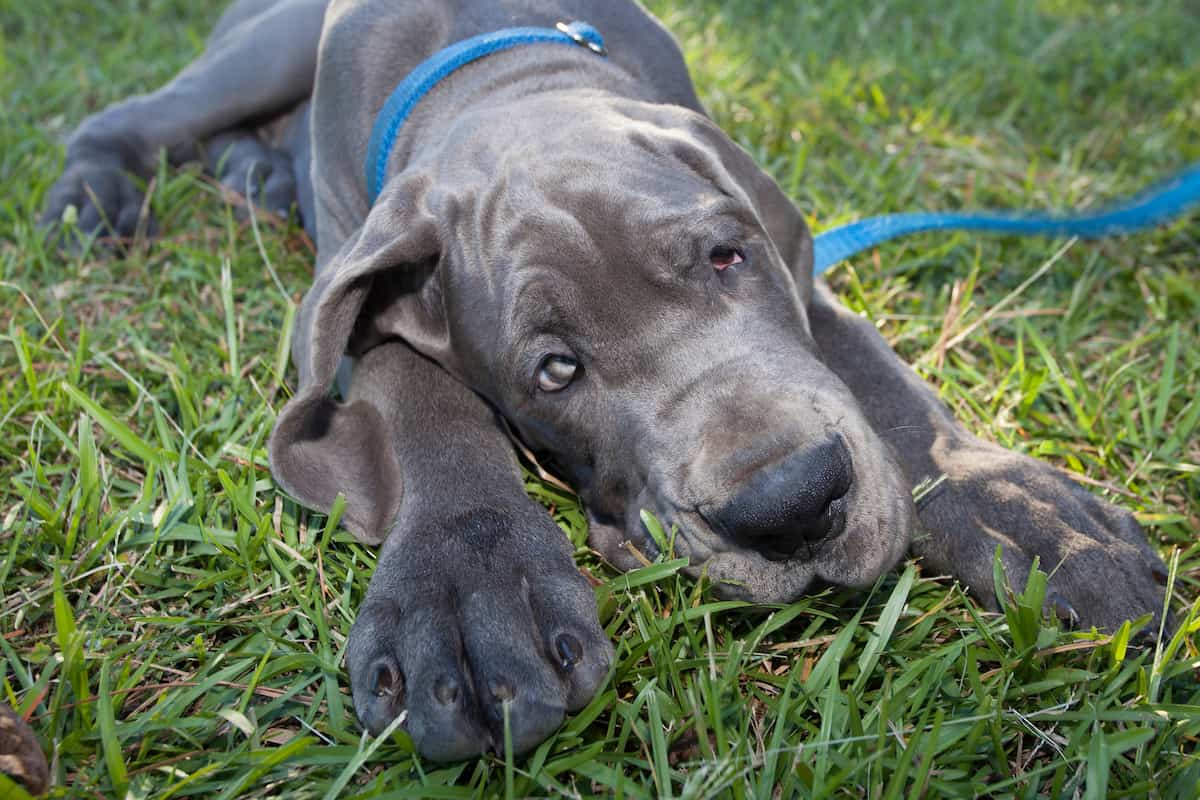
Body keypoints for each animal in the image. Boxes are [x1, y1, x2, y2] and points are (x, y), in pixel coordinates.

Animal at [46, 0, 1171, 762]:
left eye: (728, 256)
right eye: (556, 370)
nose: (792, 501)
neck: (500, 69)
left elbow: (876, 378)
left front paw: (1038, 521)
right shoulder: (363, 268)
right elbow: (424, 401)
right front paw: (467, 593)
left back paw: (253, 174)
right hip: (261, 48)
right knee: (136, 116)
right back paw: (96, 192)